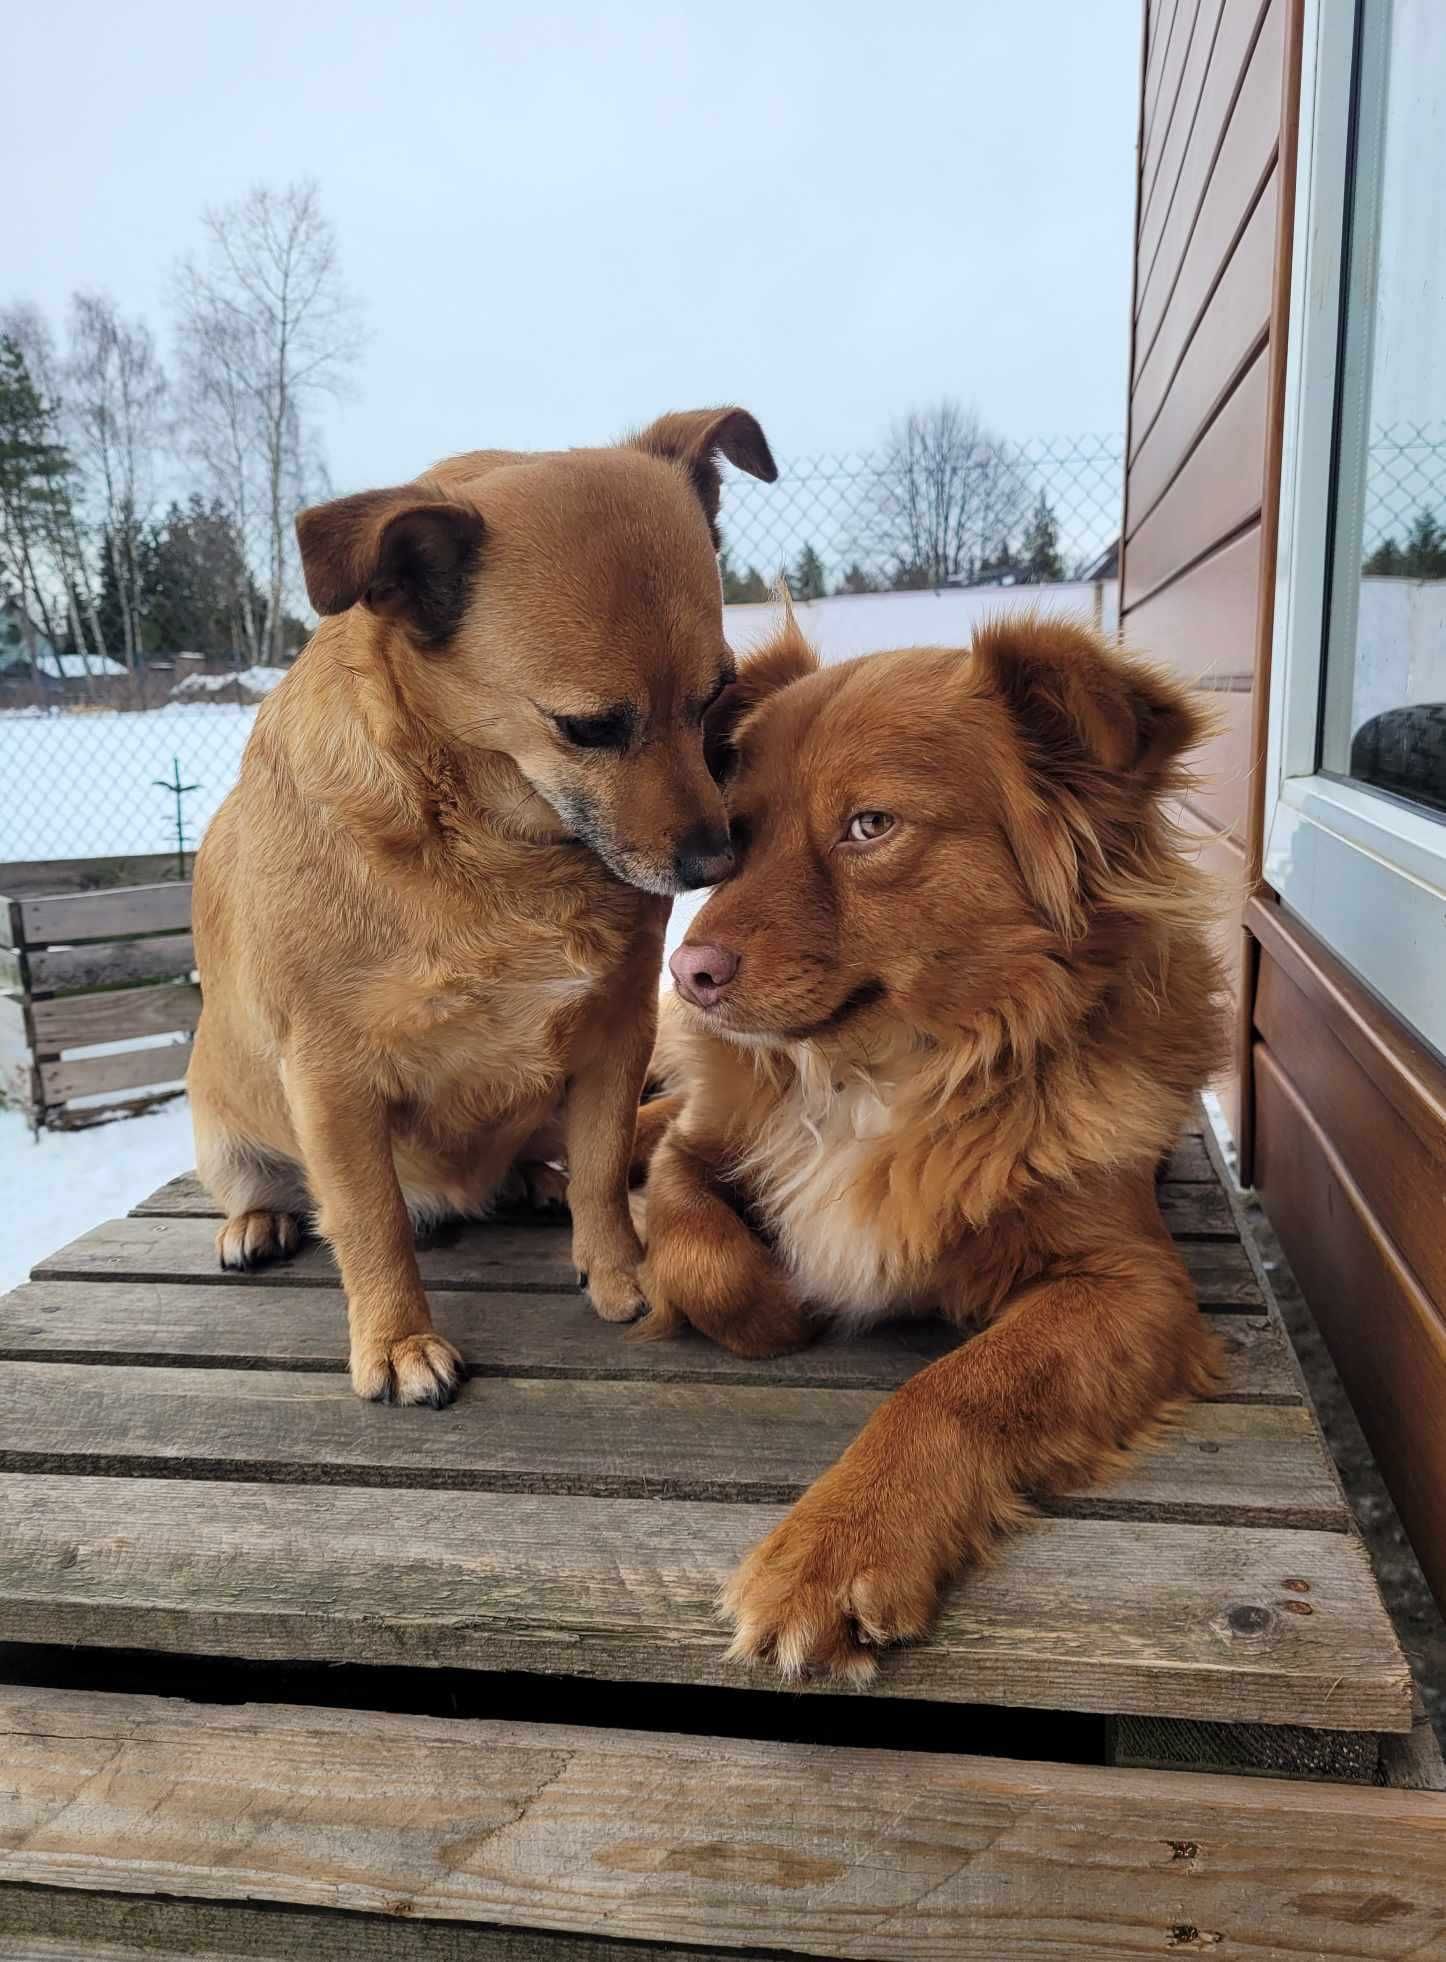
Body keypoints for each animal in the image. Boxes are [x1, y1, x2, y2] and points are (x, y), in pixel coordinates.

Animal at [194, 402, 776, 1412]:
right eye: (588, 729)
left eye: (716, 697)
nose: (716, 859)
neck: (501, 847)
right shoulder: (332, 1081)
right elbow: (370, 1220)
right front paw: (396, 1339)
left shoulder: (615, 1038)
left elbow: (599, 1169)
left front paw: (617, 1268)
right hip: (225, 1128)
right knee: (286, 1193)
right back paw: (259, 1221)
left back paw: (529, 1182)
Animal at [635, 608, 1224, 1671]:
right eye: (738, 832)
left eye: (871, 827)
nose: (686, 971)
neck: (878, 1073)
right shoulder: (707, 1142)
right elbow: (700, 1249)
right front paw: (775, 1303)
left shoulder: (1135, 1285)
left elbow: (956, 1390)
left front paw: (839, 1546)